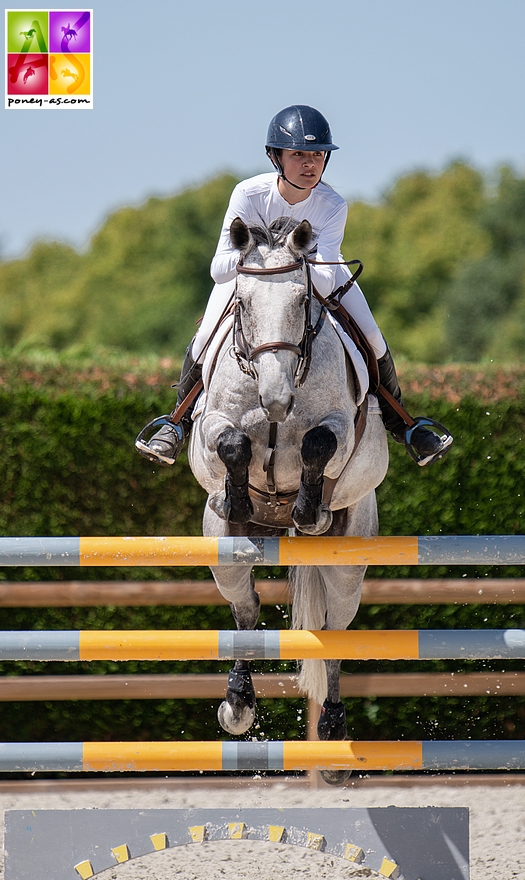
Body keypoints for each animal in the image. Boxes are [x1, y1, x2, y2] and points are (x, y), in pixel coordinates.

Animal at [186, 215, 386, 784]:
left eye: (302, 299)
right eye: (243, 301)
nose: (276, 400)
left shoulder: (338, 426)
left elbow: (319, 442)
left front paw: (307, 508)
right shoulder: (211, 429)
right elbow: (231, 442)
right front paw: (236, 497)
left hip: (350, 554)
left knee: (336, 626)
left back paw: (335, 733)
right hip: (222, 548)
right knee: (245, 609)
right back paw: (237, 704)